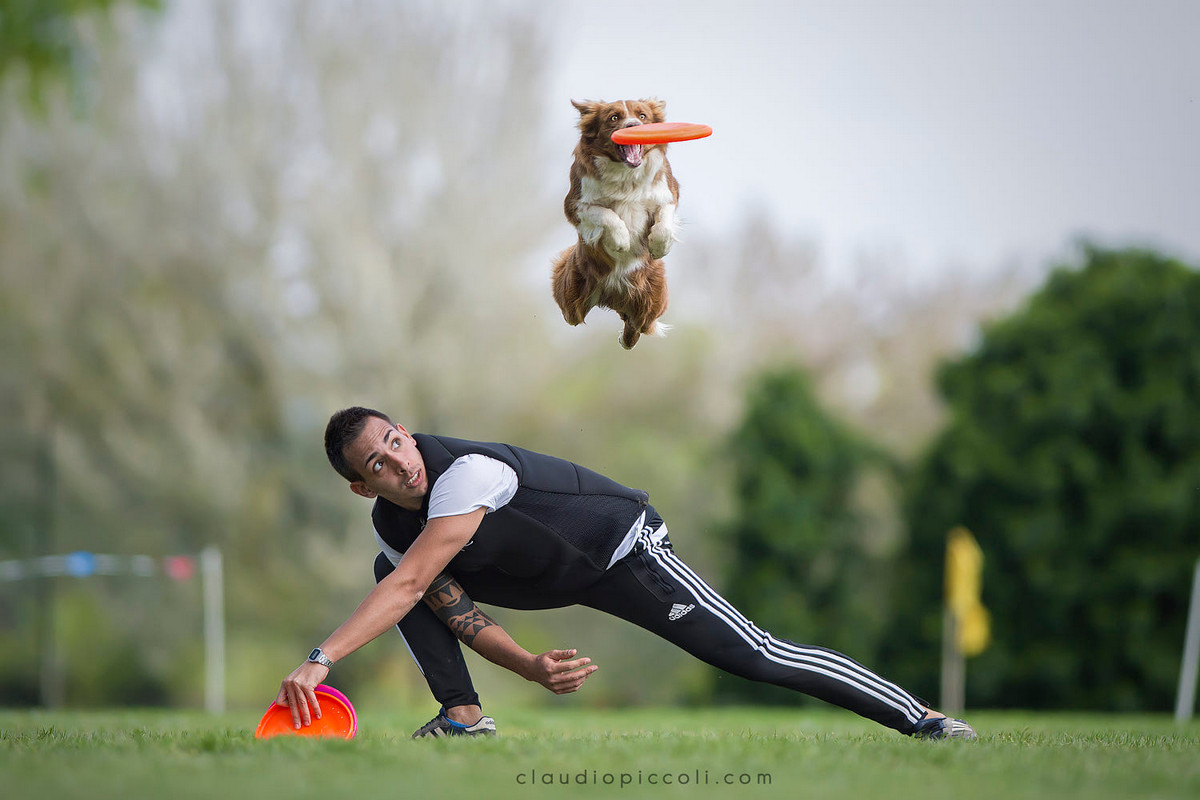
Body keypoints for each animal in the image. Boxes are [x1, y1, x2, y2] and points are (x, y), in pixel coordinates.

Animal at [549, 97, 681, 347]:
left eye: (642, 116)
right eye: (614, 117)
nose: (633, 126)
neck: (626, 174)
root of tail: (610, 297)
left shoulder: (668, 191)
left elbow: (665, 218)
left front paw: (659, 246)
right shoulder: (575, 204)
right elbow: (605, 214)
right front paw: (621, 240)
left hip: (652, 299)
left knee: (637, 328)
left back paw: (624, 336)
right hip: (571, 296)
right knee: (573, 316)